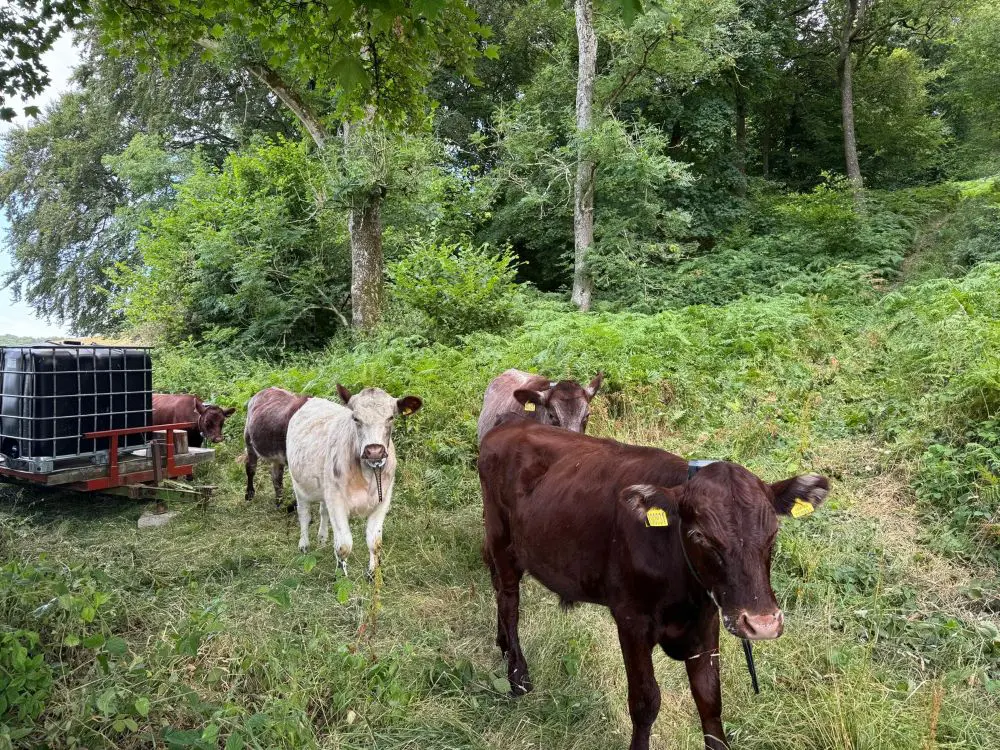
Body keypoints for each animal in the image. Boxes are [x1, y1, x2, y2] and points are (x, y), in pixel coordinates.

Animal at [286, 384, 422, 576]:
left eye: (390, 417)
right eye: (356, 418)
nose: (374, 451)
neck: (367, 476)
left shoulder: (382, 501)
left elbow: (375, 542)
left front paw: (372, 573)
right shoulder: (337, 502)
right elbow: (343, 546)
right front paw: (341, 576)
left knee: (323, 512)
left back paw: (322, 539)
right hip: (299, 486)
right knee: (304, 515)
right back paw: (304, 545)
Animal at [478, 418, 829, 750]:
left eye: (773, 533)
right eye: (700, 535)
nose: (763, 623)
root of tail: (509, 426)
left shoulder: (707, 620)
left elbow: (710, 700)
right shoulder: (631, 619)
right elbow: (645, 701)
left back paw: (502, 644)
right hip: (501, 538)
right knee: (509, 601)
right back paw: (517, 673)